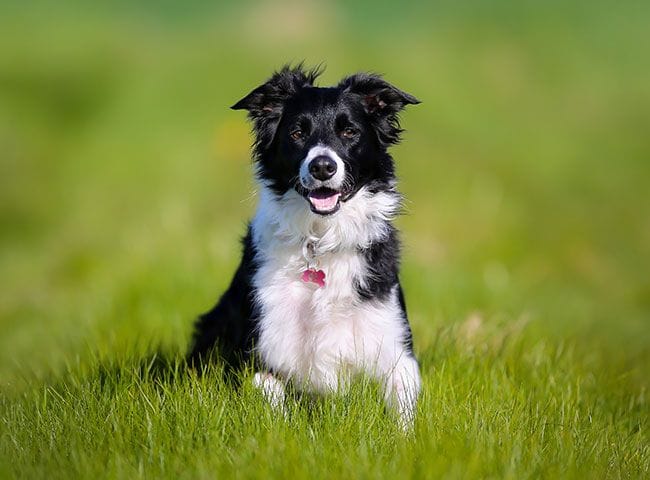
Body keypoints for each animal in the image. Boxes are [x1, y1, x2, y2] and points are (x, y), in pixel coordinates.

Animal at [187, 63, 420, 428]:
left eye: (349, 132)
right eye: (297, 133)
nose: (322, 166)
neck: (321, 241)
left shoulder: (396, 348)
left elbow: (402, 414)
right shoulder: (261, 351)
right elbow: (273, 400)